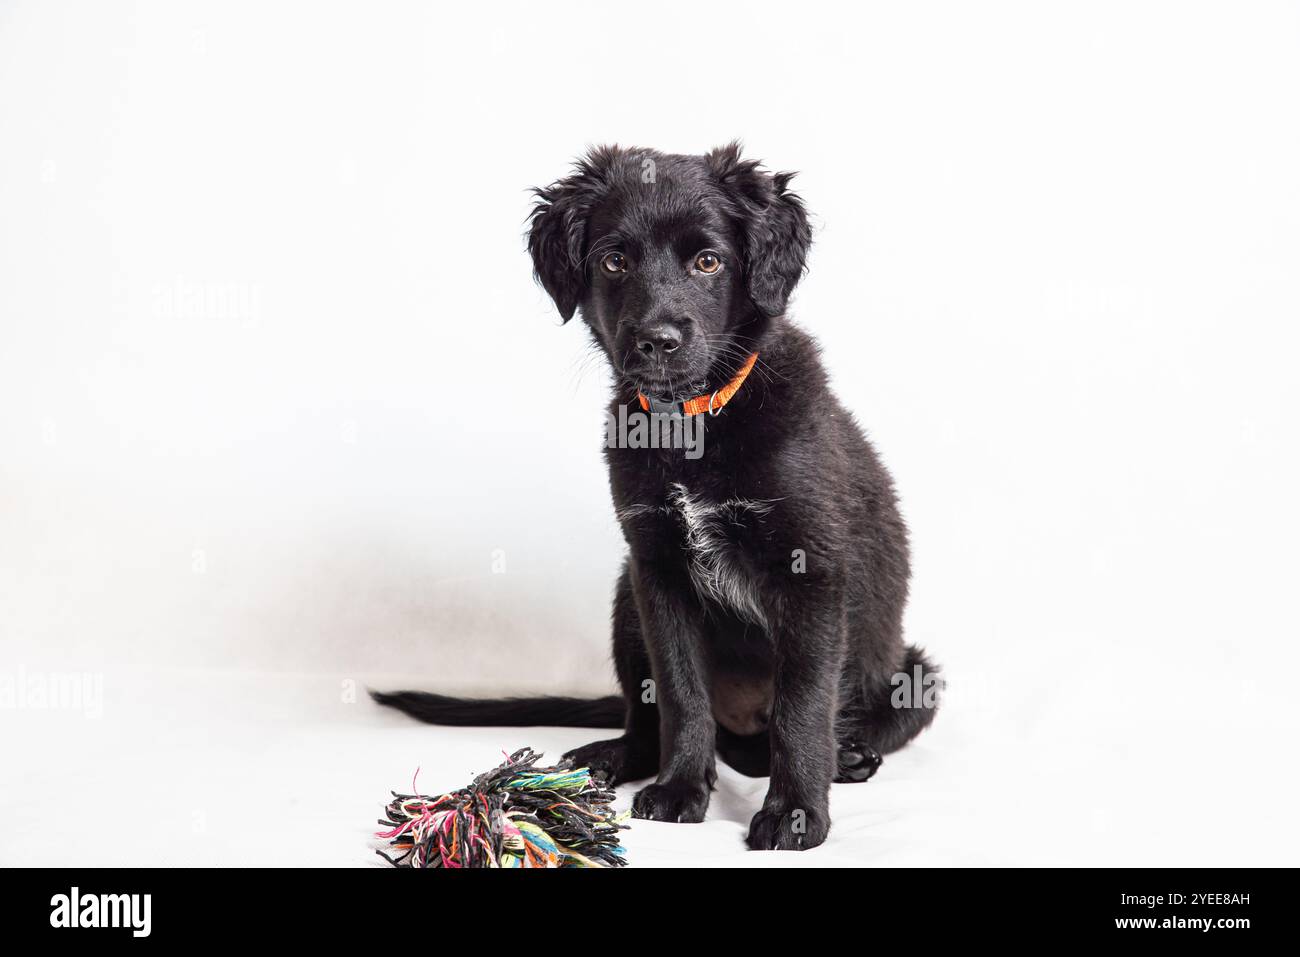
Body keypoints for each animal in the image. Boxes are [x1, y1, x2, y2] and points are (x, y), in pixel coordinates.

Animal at [374, 143, 935, 852]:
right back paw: (615, 757)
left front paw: (795, 812)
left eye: (708, 261)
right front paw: (680, 787)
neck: (691, 425)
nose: (658, 341)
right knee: (653, 718)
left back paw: (849, 755)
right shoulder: (658, 567)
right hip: (625, 595)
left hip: (914, 676)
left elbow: (803, 705)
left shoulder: (811, 573)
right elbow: (679, 693)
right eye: (614, 261)